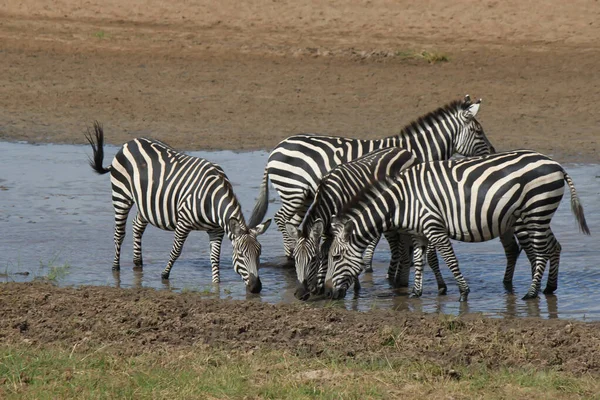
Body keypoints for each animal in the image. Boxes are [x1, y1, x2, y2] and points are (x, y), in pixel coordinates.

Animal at [85, 120, 272, 292]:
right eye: (240, 254)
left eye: (259, 253)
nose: (256, 287)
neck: (212, 201)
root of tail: (129, 142)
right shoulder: (184, 222)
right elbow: (176, 250)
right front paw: (164, 275)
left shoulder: (216, 230)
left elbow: (214, 257)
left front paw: (216, 284)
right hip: (121, 195)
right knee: (119, 233)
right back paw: (115, 267)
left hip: (145, 202)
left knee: (137, 226)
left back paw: (138, 263)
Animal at [248, 95, 506, 264]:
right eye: (478, 131)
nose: (493, 152)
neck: (415, 150)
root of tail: (277, 148)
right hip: (293, 191)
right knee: (281, 218)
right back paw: (290, 256)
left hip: (303, 195)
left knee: (294, 222)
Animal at [284, 147, 448, 300]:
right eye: (296, 259)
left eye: (313, 259)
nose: (300, 294)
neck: (329, 197)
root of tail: (403, 150)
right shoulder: (327, 230)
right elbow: (326, 249)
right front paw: (321, 286)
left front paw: (351, 287)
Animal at [324, 149, 592, 300]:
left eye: (335, 257)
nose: (326, 292)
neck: (402, 201)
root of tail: (556, 164)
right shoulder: (420, 233)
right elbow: (419, 261)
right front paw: (416, 293)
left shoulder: (434, 227)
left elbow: (450, 260)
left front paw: (463, 292)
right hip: (538, 215)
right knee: (553, 247)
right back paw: (549, 288)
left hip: (535, 211)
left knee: (540, 253)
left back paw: (531, 293)